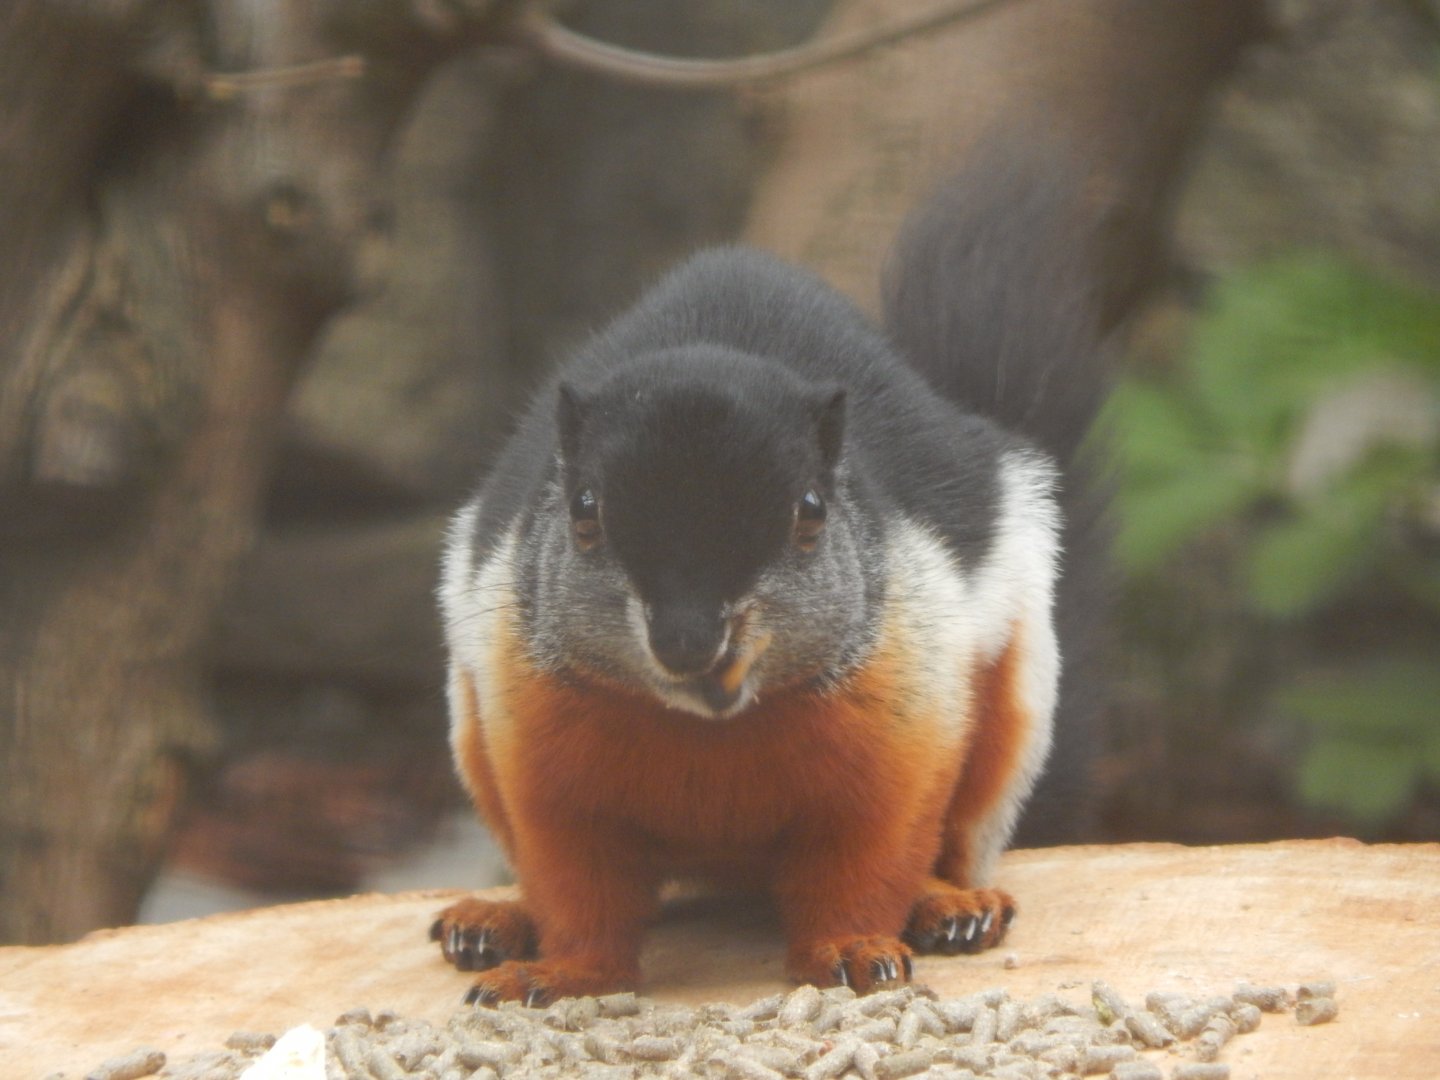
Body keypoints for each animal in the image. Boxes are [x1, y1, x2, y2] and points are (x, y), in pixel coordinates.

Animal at [432, 137, 1109, 1005]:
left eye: (810, 511)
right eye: (584, 512)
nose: (690, 642)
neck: (711, 729)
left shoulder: (904, 737)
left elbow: (865, 860)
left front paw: (853, 950)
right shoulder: (538, 755)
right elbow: (576, 884)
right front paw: (559, 971)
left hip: (1014, 710)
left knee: (957, 841)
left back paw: (951, 904)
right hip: (471, 729)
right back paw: (497, 918)